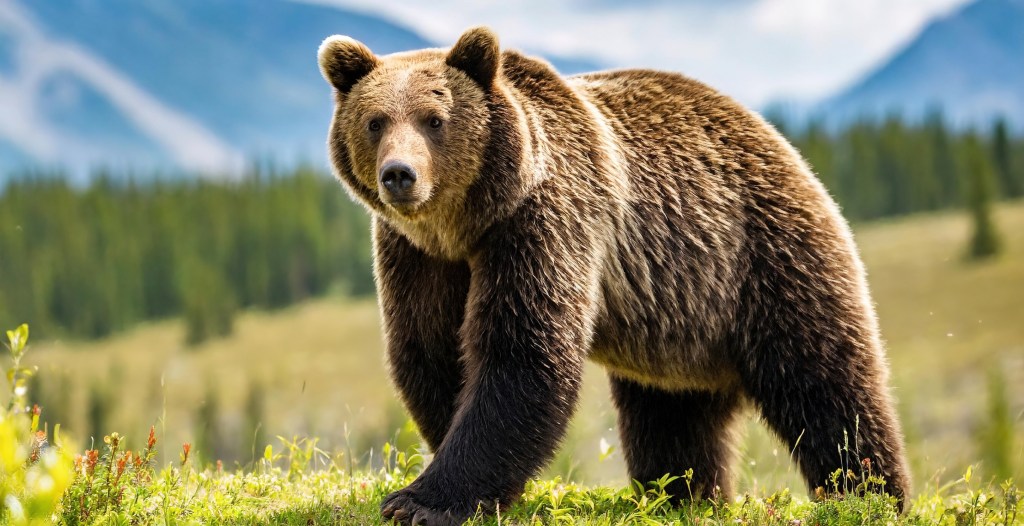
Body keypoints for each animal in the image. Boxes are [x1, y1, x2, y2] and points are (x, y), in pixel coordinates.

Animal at [317, 27, 910, 526]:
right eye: (375, 121)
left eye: (434, 119)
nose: (400, 175)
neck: (467, 223)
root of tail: (780, 141)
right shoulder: (417, 254)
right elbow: (429, 349)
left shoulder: (545, 219)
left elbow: (522, 353)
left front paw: (421, 501)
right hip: (679, 321)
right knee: (672, 419)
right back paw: (687, 496)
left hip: (765, 257)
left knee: (828, 385)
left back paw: (871, 496)